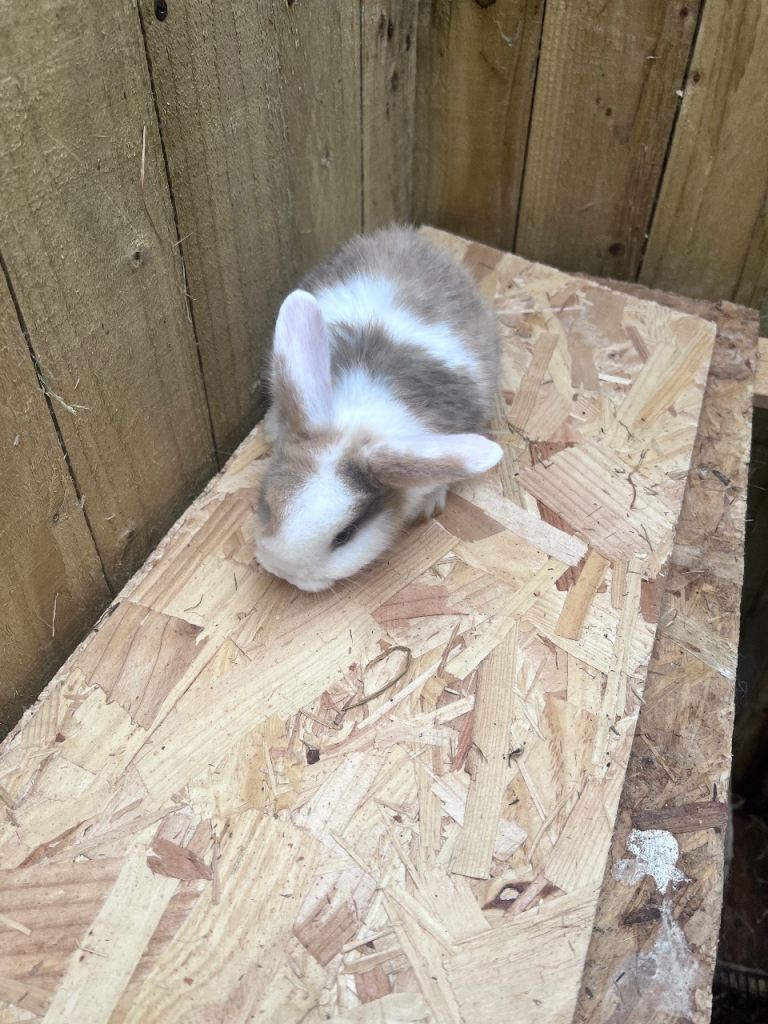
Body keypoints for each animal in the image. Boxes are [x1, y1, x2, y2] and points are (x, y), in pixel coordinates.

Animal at [255, 225, 503, 592]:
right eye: (268, 505)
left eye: (345, 536)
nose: (281, 570)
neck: (360, 422)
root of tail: (408, 237)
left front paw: (430, 505)